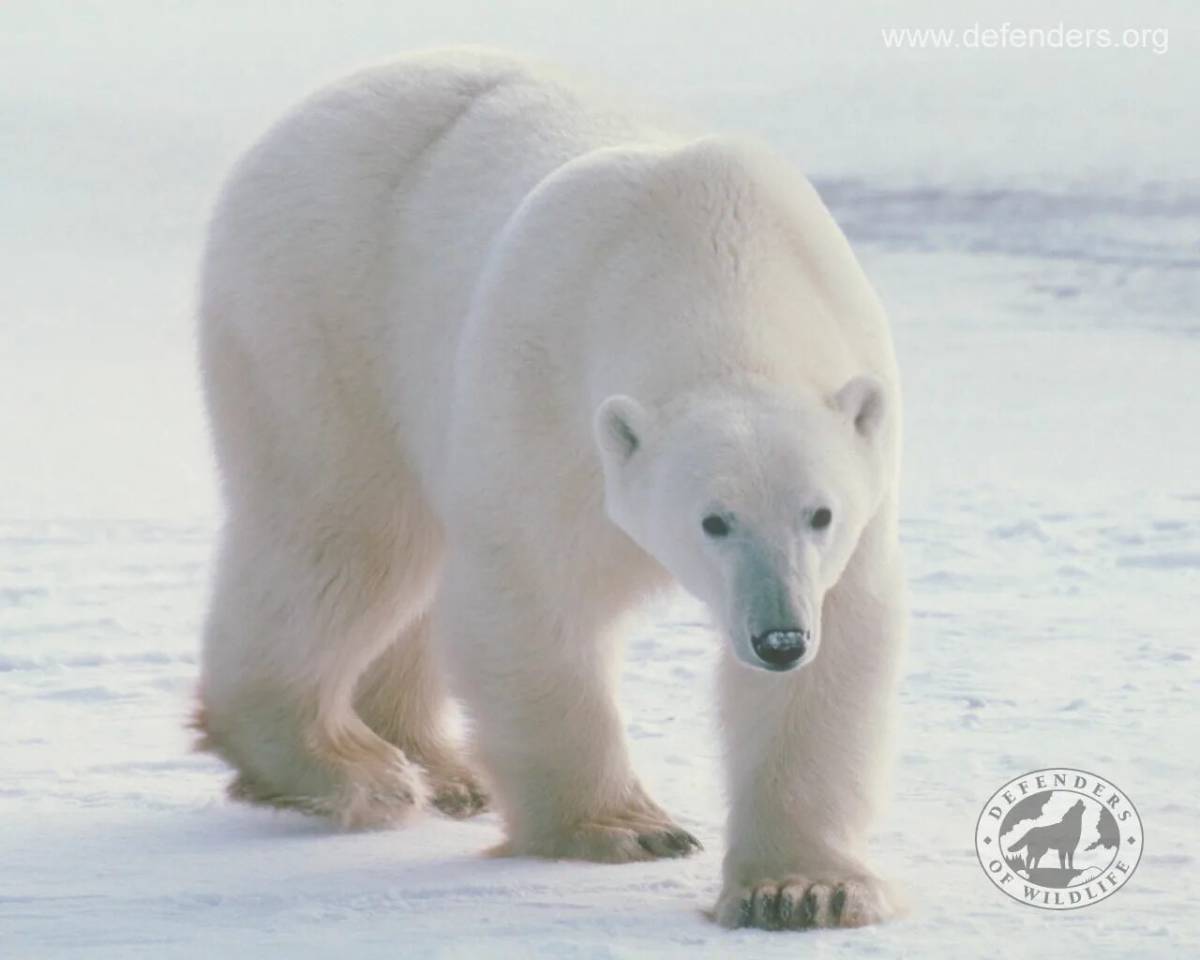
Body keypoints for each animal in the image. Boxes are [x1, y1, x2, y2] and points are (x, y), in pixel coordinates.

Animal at [196, 46, 902, 931]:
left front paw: (803, 891)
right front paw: (625, 829)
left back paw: (442, 767)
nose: (778, 638)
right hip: (320, 313)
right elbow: (530, 596)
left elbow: (840, 649)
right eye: (713, 521)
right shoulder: (547, 392)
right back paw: (349, 768)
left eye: (820, 513)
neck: (708, 248)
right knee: (346, 534)